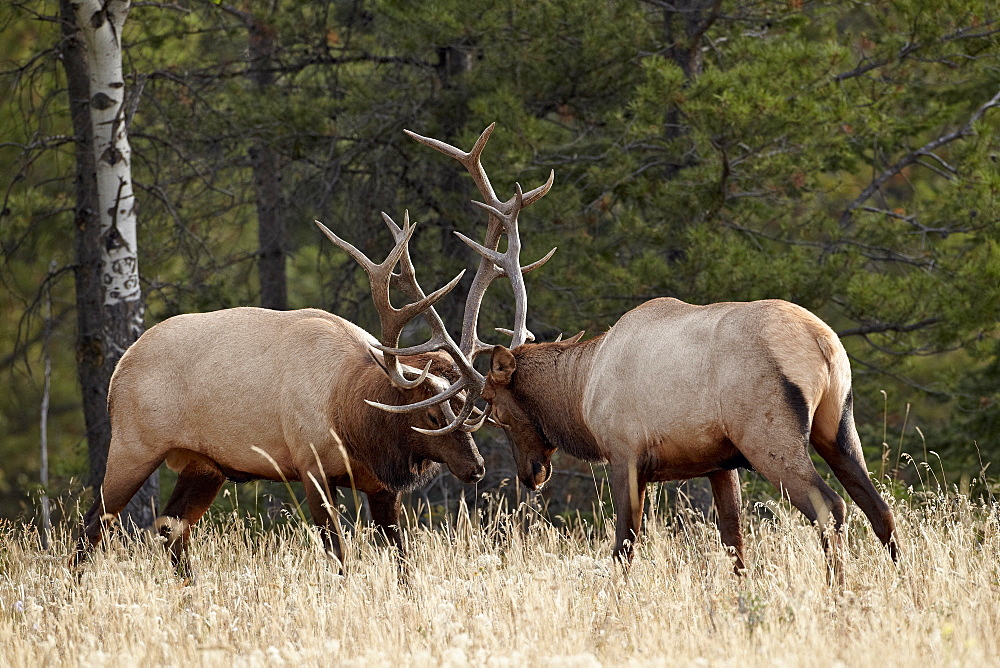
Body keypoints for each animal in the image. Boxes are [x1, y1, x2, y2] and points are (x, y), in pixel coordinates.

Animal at [414, 126, 900, 580]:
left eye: (496, 411)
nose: (530, 475)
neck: (581, 392)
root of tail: (822, 344)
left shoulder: (624, 453)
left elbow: (624, 545)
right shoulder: (720, 462)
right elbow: (734, 542)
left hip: (769, 434)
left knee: (832, 507)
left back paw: (838, 592)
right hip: (838, 423)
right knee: (879, 507)